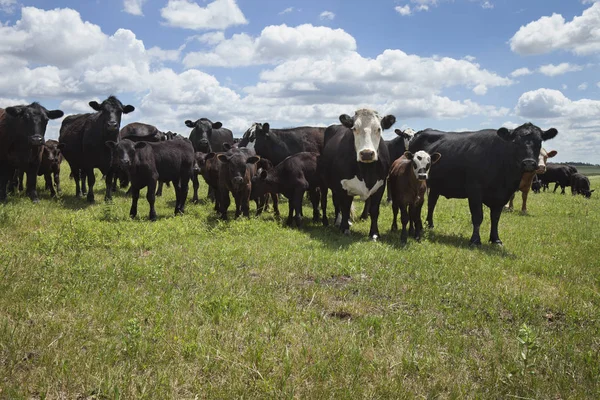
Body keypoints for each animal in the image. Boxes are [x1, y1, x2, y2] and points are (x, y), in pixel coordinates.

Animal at [318, 108, 398, 241]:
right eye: (355, 128)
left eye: (379, 129)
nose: (366, 153)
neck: (366, 170)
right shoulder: (343, 186)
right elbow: (345, 207)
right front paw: (344, 229)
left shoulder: (380, 186)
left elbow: (374, 210)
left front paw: (374, 234)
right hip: (329, 185)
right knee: (334, 202)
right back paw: (336, 221)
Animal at [408, 123, 556, 245]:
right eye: (515, 142)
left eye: (539, 141)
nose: (529, 163)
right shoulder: (475, 191)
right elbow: (478, 216)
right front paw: (475, 240)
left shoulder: (503, 195)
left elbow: (495, 218)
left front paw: (496, 239)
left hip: (436, 185)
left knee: (432, 203)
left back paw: (430, 225)